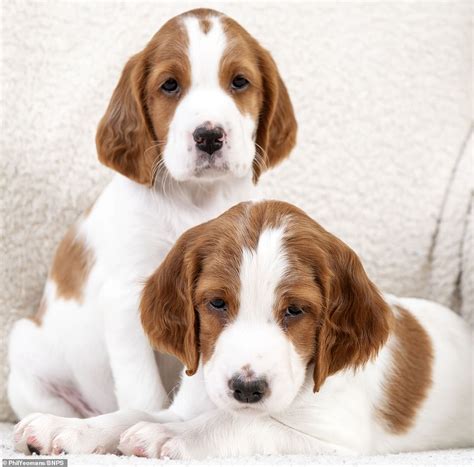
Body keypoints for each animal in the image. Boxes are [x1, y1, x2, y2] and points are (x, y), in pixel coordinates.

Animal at [7, 7, 296, 422]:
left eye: (240, 82)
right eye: (170, 85)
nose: (209, 136)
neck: (197, 197)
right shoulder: (129, 295)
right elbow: (142, 391)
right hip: (28, 364)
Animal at [12, 200, 472, 458]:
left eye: (295, 310)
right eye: (217, 303)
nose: (247, 389)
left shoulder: (336, 439)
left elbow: (244, 423)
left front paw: (168, 436)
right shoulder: (190, 400)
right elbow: (132, 412)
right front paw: (67, 428)